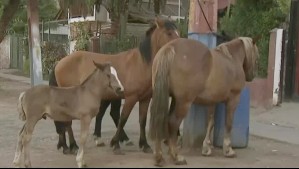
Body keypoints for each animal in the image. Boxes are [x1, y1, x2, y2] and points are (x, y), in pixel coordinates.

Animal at [53, 17, 180, 154]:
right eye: (169, 33)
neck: (141, 63)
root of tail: (59, 62)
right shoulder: (131, 98)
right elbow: (123, 119)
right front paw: (115, 143)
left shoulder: (145, 99)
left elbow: (142, 121)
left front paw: (145, 144)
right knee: (68, 122)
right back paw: (73, 146)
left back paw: (67, 146)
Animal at [150, 37, 260, 166]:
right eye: (257, 56)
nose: (252, 76)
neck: (231, 59)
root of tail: (170, 48)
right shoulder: (233, 100)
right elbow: (228, 123)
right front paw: (228, 150)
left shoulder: (212, 101)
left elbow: (210, 123)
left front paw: (206, 148)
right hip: (183, 102)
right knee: (172, 122)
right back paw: (176, 157)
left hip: (172, 99)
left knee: (160, 120)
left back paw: (159, 157)